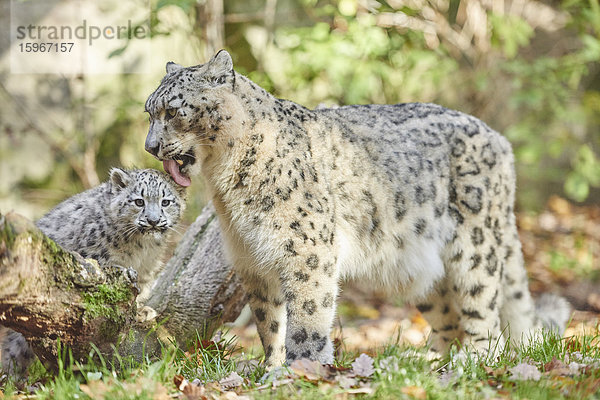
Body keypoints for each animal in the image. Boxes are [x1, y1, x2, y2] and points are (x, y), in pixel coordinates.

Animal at [0, 168, 185, 376]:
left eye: (165, 202)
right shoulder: (99, 259)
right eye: (139, 201)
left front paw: (142, 311)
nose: (153, 221)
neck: (142, 249)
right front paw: (135, 313)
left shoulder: (146, 269)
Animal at [143, 49, 568, 366]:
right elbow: (269, 321)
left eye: (174, 111)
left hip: (475, 249)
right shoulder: (252, 259)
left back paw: (471, 364)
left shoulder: (308, 249)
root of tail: (501, 141)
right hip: (424, 268)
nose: (150, 146)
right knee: (449, 318)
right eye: (150, 112)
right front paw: (272, 369)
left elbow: (308, 314)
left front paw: (303, 369)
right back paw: (432, 366)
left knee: (485, 315)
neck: (228, 184)